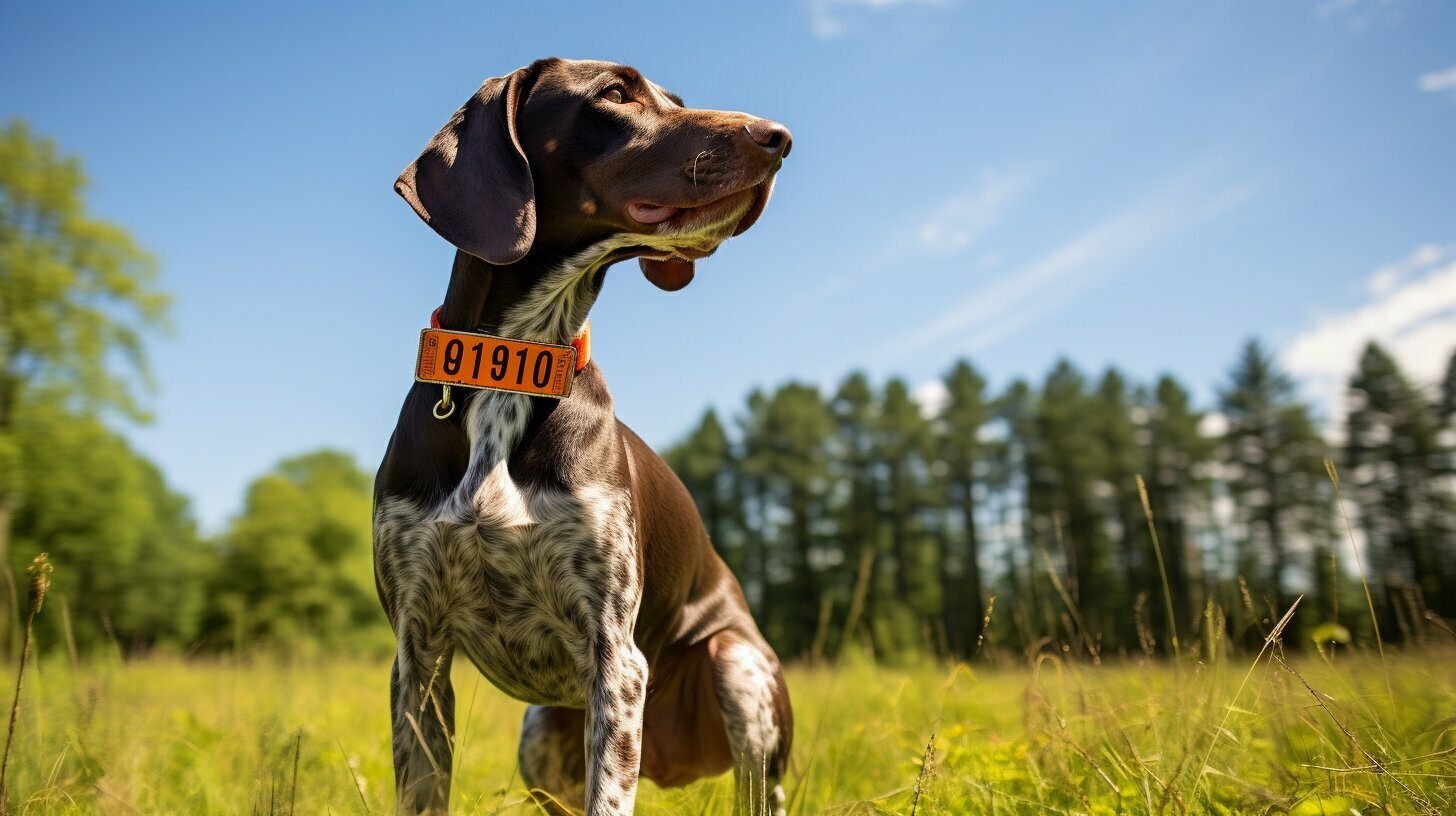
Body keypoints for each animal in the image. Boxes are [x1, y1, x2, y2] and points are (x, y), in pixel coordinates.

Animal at [369, 59, 792, 816]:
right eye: (616, 94)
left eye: (676, 99)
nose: (779, 137)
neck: (516, 366)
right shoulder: (418, 655)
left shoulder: (616, 657)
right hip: (540, 733)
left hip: (737, 674)